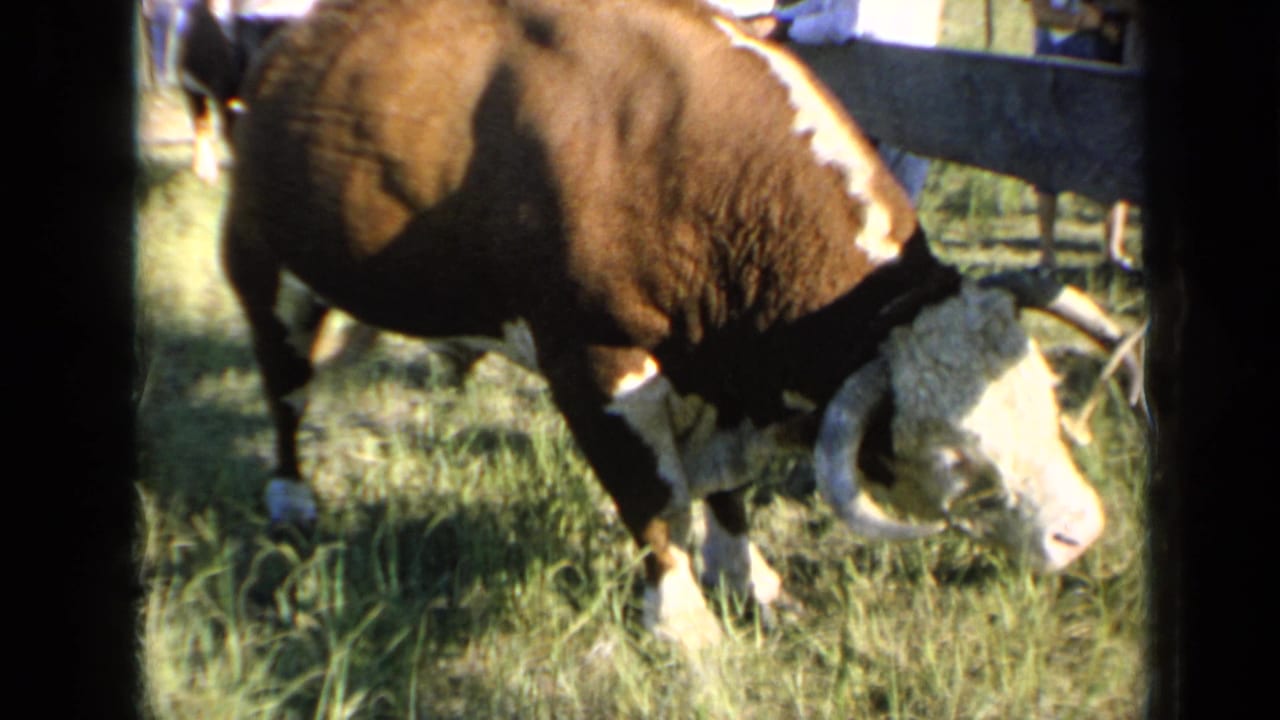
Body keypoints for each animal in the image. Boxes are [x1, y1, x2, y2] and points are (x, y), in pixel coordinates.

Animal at [222, 0, 1142, 651]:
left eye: (1046, 391)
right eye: (952, 456)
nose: (1081, 531)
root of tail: (285, 44)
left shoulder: (717, 366)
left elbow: (723, 488)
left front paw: (748, 579)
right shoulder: (593, 362)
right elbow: (652, 498)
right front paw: (683, 623)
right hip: (261, 264)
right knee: (284, 388)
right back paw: (291, 497)